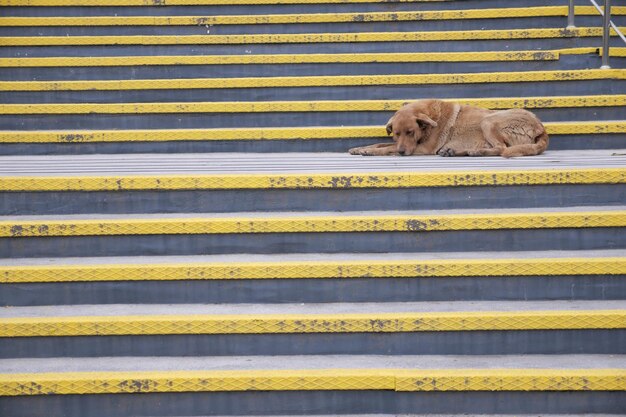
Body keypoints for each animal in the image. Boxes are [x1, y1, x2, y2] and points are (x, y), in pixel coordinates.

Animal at [348, 99, 548, 158]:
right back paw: (455, 152)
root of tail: (541, 127)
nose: (403, 152)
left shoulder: (422, 148)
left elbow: (387, 148)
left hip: (489, 121)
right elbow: (382, 144)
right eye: (396, 134)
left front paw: (369, 151)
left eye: (411, 132)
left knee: (501, 148)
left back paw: (473, 152)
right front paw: (360, 148)